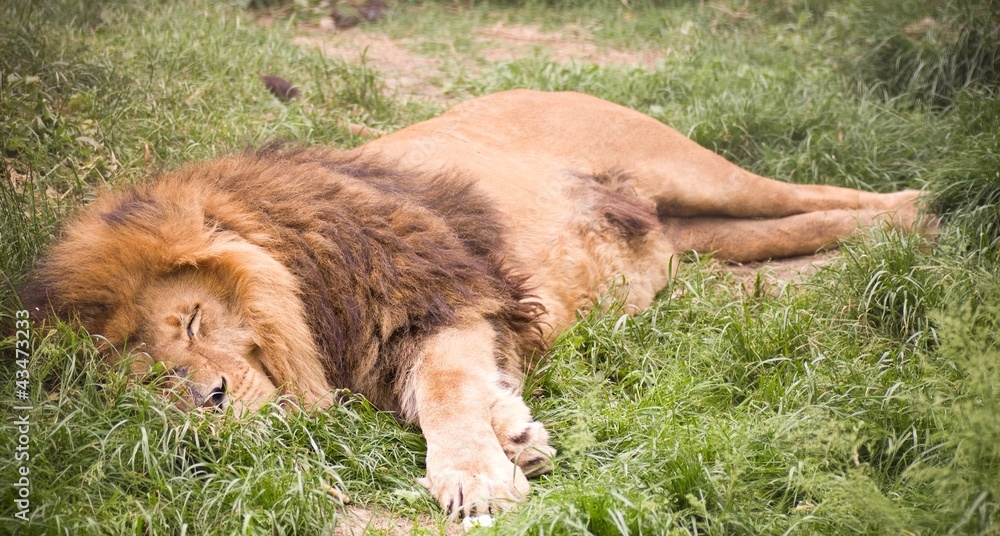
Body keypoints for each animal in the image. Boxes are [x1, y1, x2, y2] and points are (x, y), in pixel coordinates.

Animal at [20, 90, 929, 517]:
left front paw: (477, 477)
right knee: (800, 223)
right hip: (700, 237)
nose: (208, 398)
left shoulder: (442, 299)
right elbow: (455, 390)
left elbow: (447, 392)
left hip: (694, 169)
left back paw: (920, 211)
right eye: (150, 376)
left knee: (808, 190)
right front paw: (516, 436)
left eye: (194, 320)